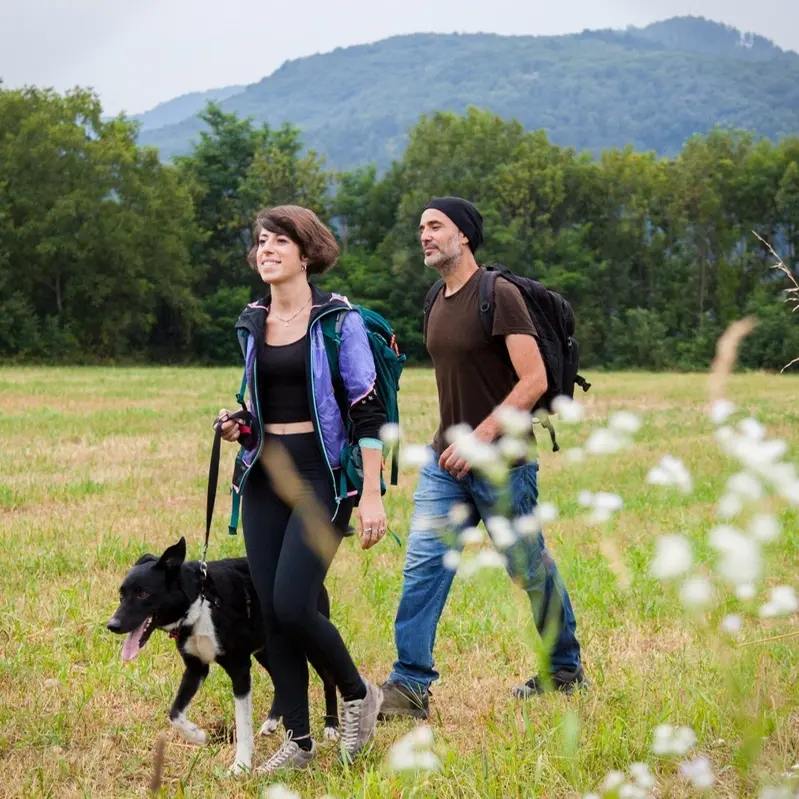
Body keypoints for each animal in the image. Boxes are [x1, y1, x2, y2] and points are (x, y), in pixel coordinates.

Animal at [107, 536, 340, 776]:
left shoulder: (240, 670)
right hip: (267, 650)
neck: (199, 603)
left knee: (328, 680)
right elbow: (175, 714)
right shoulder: (196, 668)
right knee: (280, 680)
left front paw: (241, 765)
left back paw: (331, 726)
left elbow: (243, 725)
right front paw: (198, 735)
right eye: (121, 595)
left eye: (143, 593)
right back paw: (272, 721)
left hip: (309, 641)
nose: (112, 625)